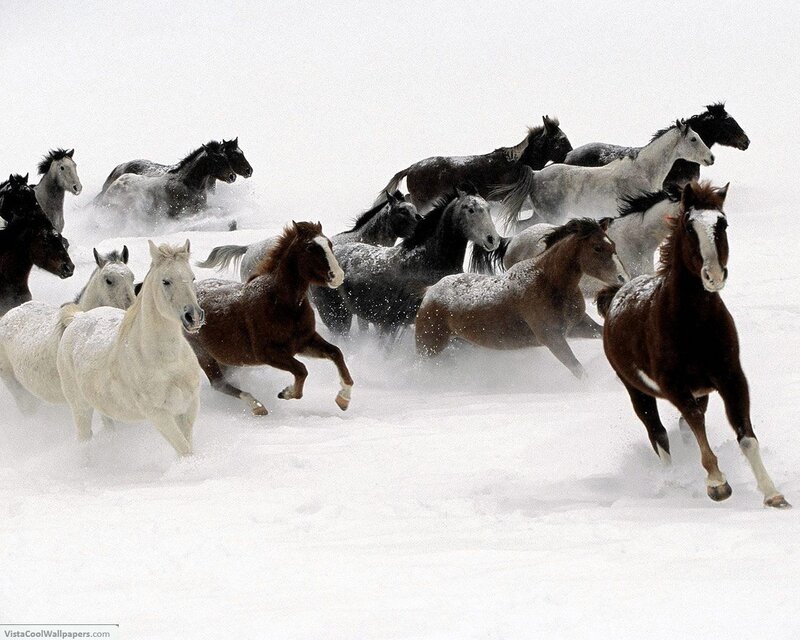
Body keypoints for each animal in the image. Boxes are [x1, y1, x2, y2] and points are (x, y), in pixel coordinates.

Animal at [57, 240, 204, 455]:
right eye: (166, 281)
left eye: (192, 277)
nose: (193, 316)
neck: (168, 362)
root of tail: (77, 318)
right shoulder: (158, 414)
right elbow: (185, 450)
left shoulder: (188, 406)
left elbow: (187, 446)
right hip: (80, 407)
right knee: (84, 438)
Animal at [185, 221, 353, 416]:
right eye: (310, 247)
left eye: (329, 244)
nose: (338, 276)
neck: (281, 304)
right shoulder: (268, 353)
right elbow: (301, 370)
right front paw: (287, 393)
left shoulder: (304, 342)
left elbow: (336, 353)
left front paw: (343, 399)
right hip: (204, 355)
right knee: (219, 384)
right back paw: (257, 406)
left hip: (226, 359)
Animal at [416, 218, 627, 377]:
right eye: (597, 247)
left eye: (613, 245)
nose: (622, 278)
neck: (549, 282)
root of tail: (430, 291)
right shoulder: (552, 338)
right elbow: (578, 370)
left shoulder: (577, 326)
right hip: (429, 347)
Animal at [497, 120, 714, 228]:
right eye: (693, 139)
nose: (711, 158)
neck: (644, 172)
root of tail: (535, 175)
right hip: (553, 217)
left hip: (541, 216)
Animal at [596, 181, 789, 508]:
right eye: (689, 227)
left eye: (722, 223)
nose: (714, 276)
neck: (694, 325)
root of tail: (615, 294)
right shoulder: (674, 385)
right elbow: (696, 423)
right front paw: (717, 484)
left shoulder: (731, 378)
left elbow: (745, 435)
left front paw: (773, 494)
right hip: (637, 390)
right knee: (658, 434)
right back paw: (672, 482)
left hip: (701, 391)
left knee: (682, 428)